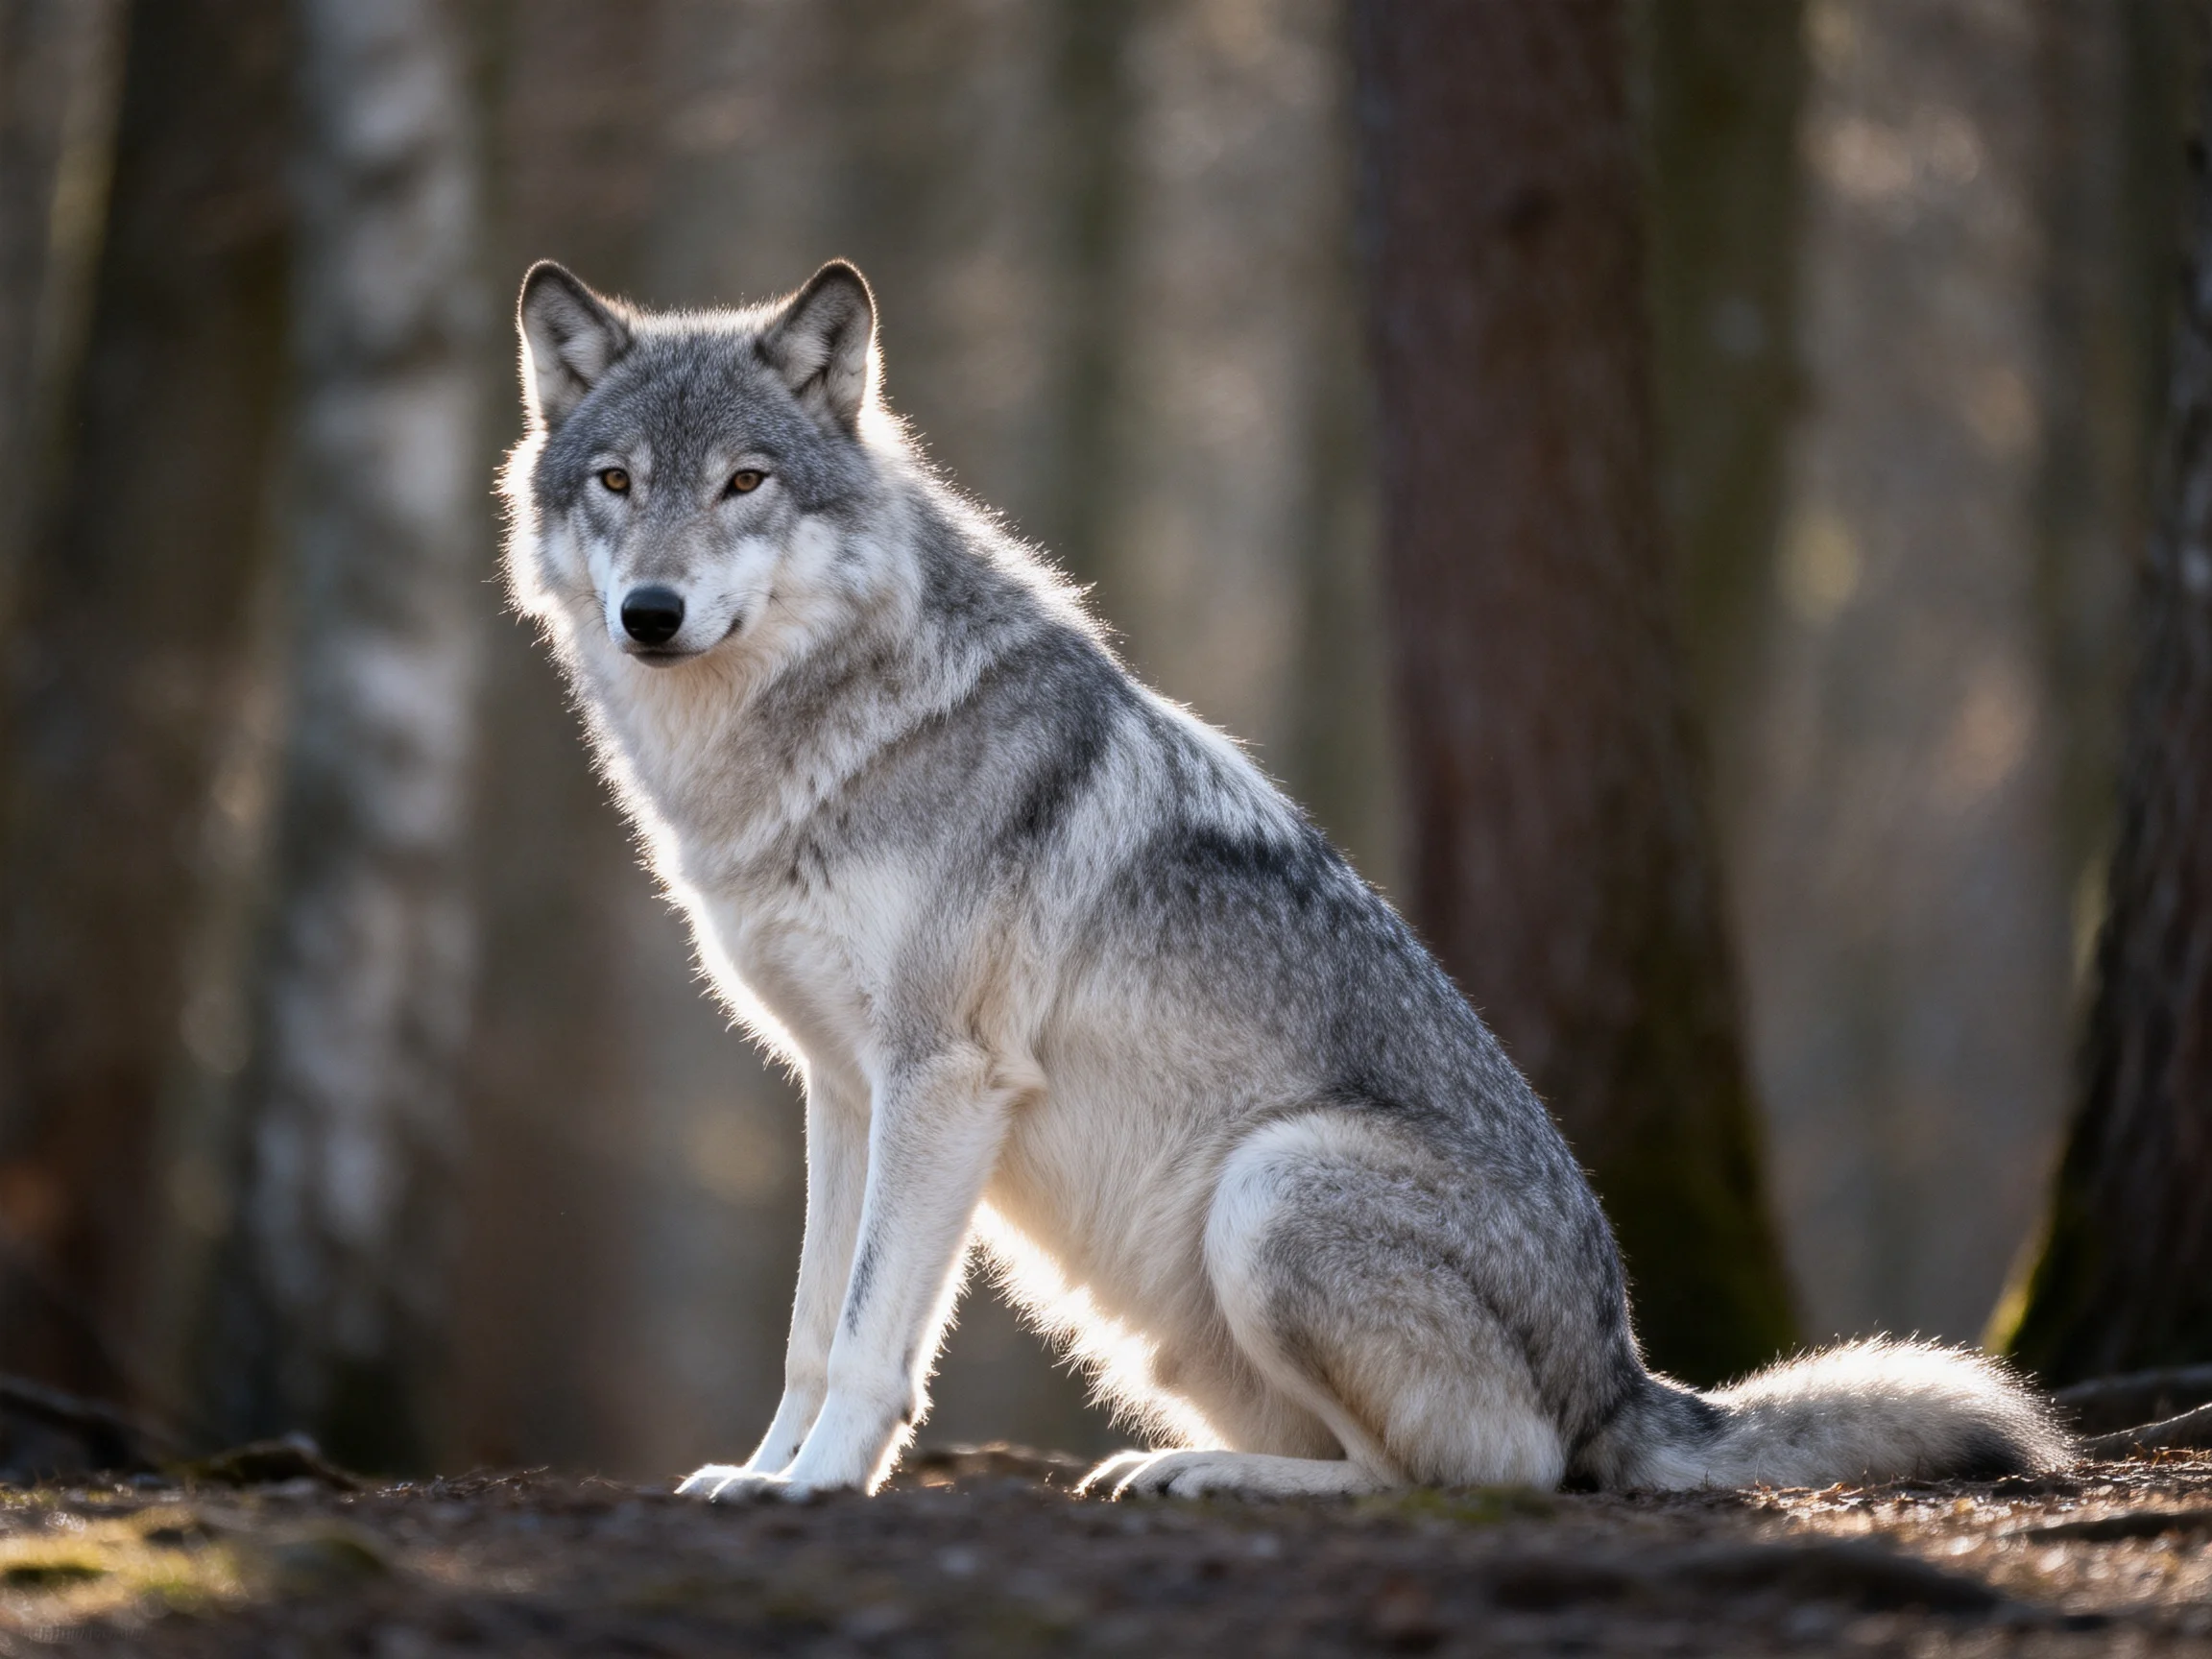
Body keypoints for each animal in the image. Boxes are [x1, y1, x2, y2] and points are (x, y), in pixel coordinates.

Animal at [499, 258, 2070, 1501]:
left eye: (744, 482)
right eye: (618, 483)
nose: (651, 613)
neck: (812, 742)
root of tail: (1629, 1379)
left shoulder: (938, 1077)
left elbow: (873, 1335)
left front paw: (818, 1488)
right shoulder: (840, 1085)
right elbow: (812, 1329)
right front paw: (757, 1472)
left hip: (1271, 1183)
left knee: (1481, 1472)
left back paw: (1209, 1476)